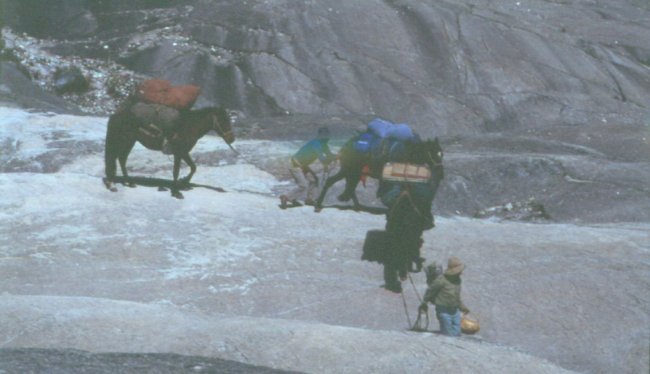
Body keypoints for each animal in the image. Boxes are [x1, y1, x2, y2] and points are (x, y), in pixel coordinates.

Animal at [101, 105, 233, 199]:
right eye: (223, 121)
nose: (232, 138)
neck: (189, 125)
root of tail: (116, 114)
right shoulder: (178, 153)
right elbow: (176, 171)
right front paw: (176, 192)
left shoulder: (184, 152)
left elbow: (193, 167)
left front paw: (184, 182)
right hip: (123, 140)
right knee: (113, 158)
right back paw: (112, 184)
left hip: (130, 141)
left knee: (121, 159)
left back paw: (129, 182)